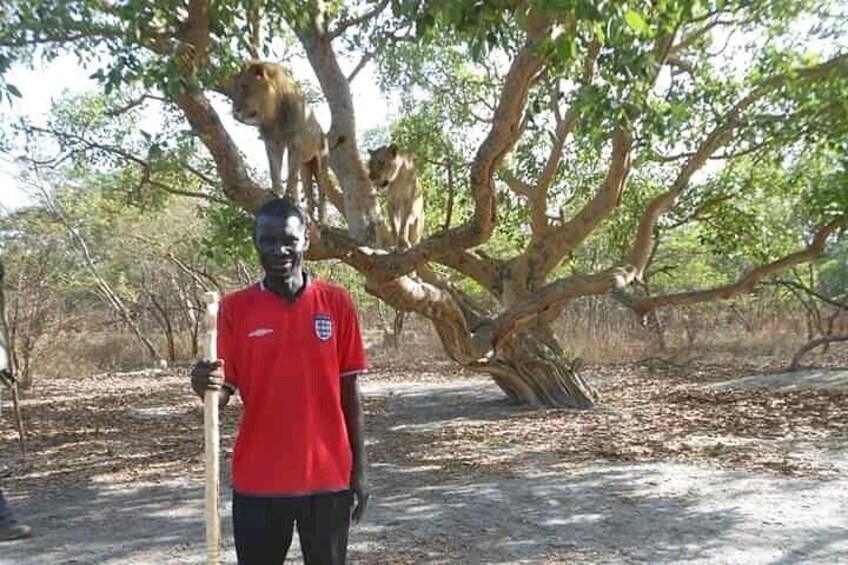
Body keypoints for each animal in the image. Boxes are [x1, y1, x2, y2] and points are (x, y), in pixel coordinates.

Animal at [234, 60, 330, 219]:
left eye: (244, 86)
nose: (235, 109)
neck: (273, 114)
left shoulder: (295, 142)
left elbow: (291, 176)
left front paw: (290, 197)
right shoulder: (272, 143)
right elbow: (275, 170)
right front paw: (275, 192)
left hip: (320, 162)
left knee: (322, 192)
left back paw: (322, 219)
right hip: (305, 167)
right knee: (309, 193)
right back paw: (310, 215)